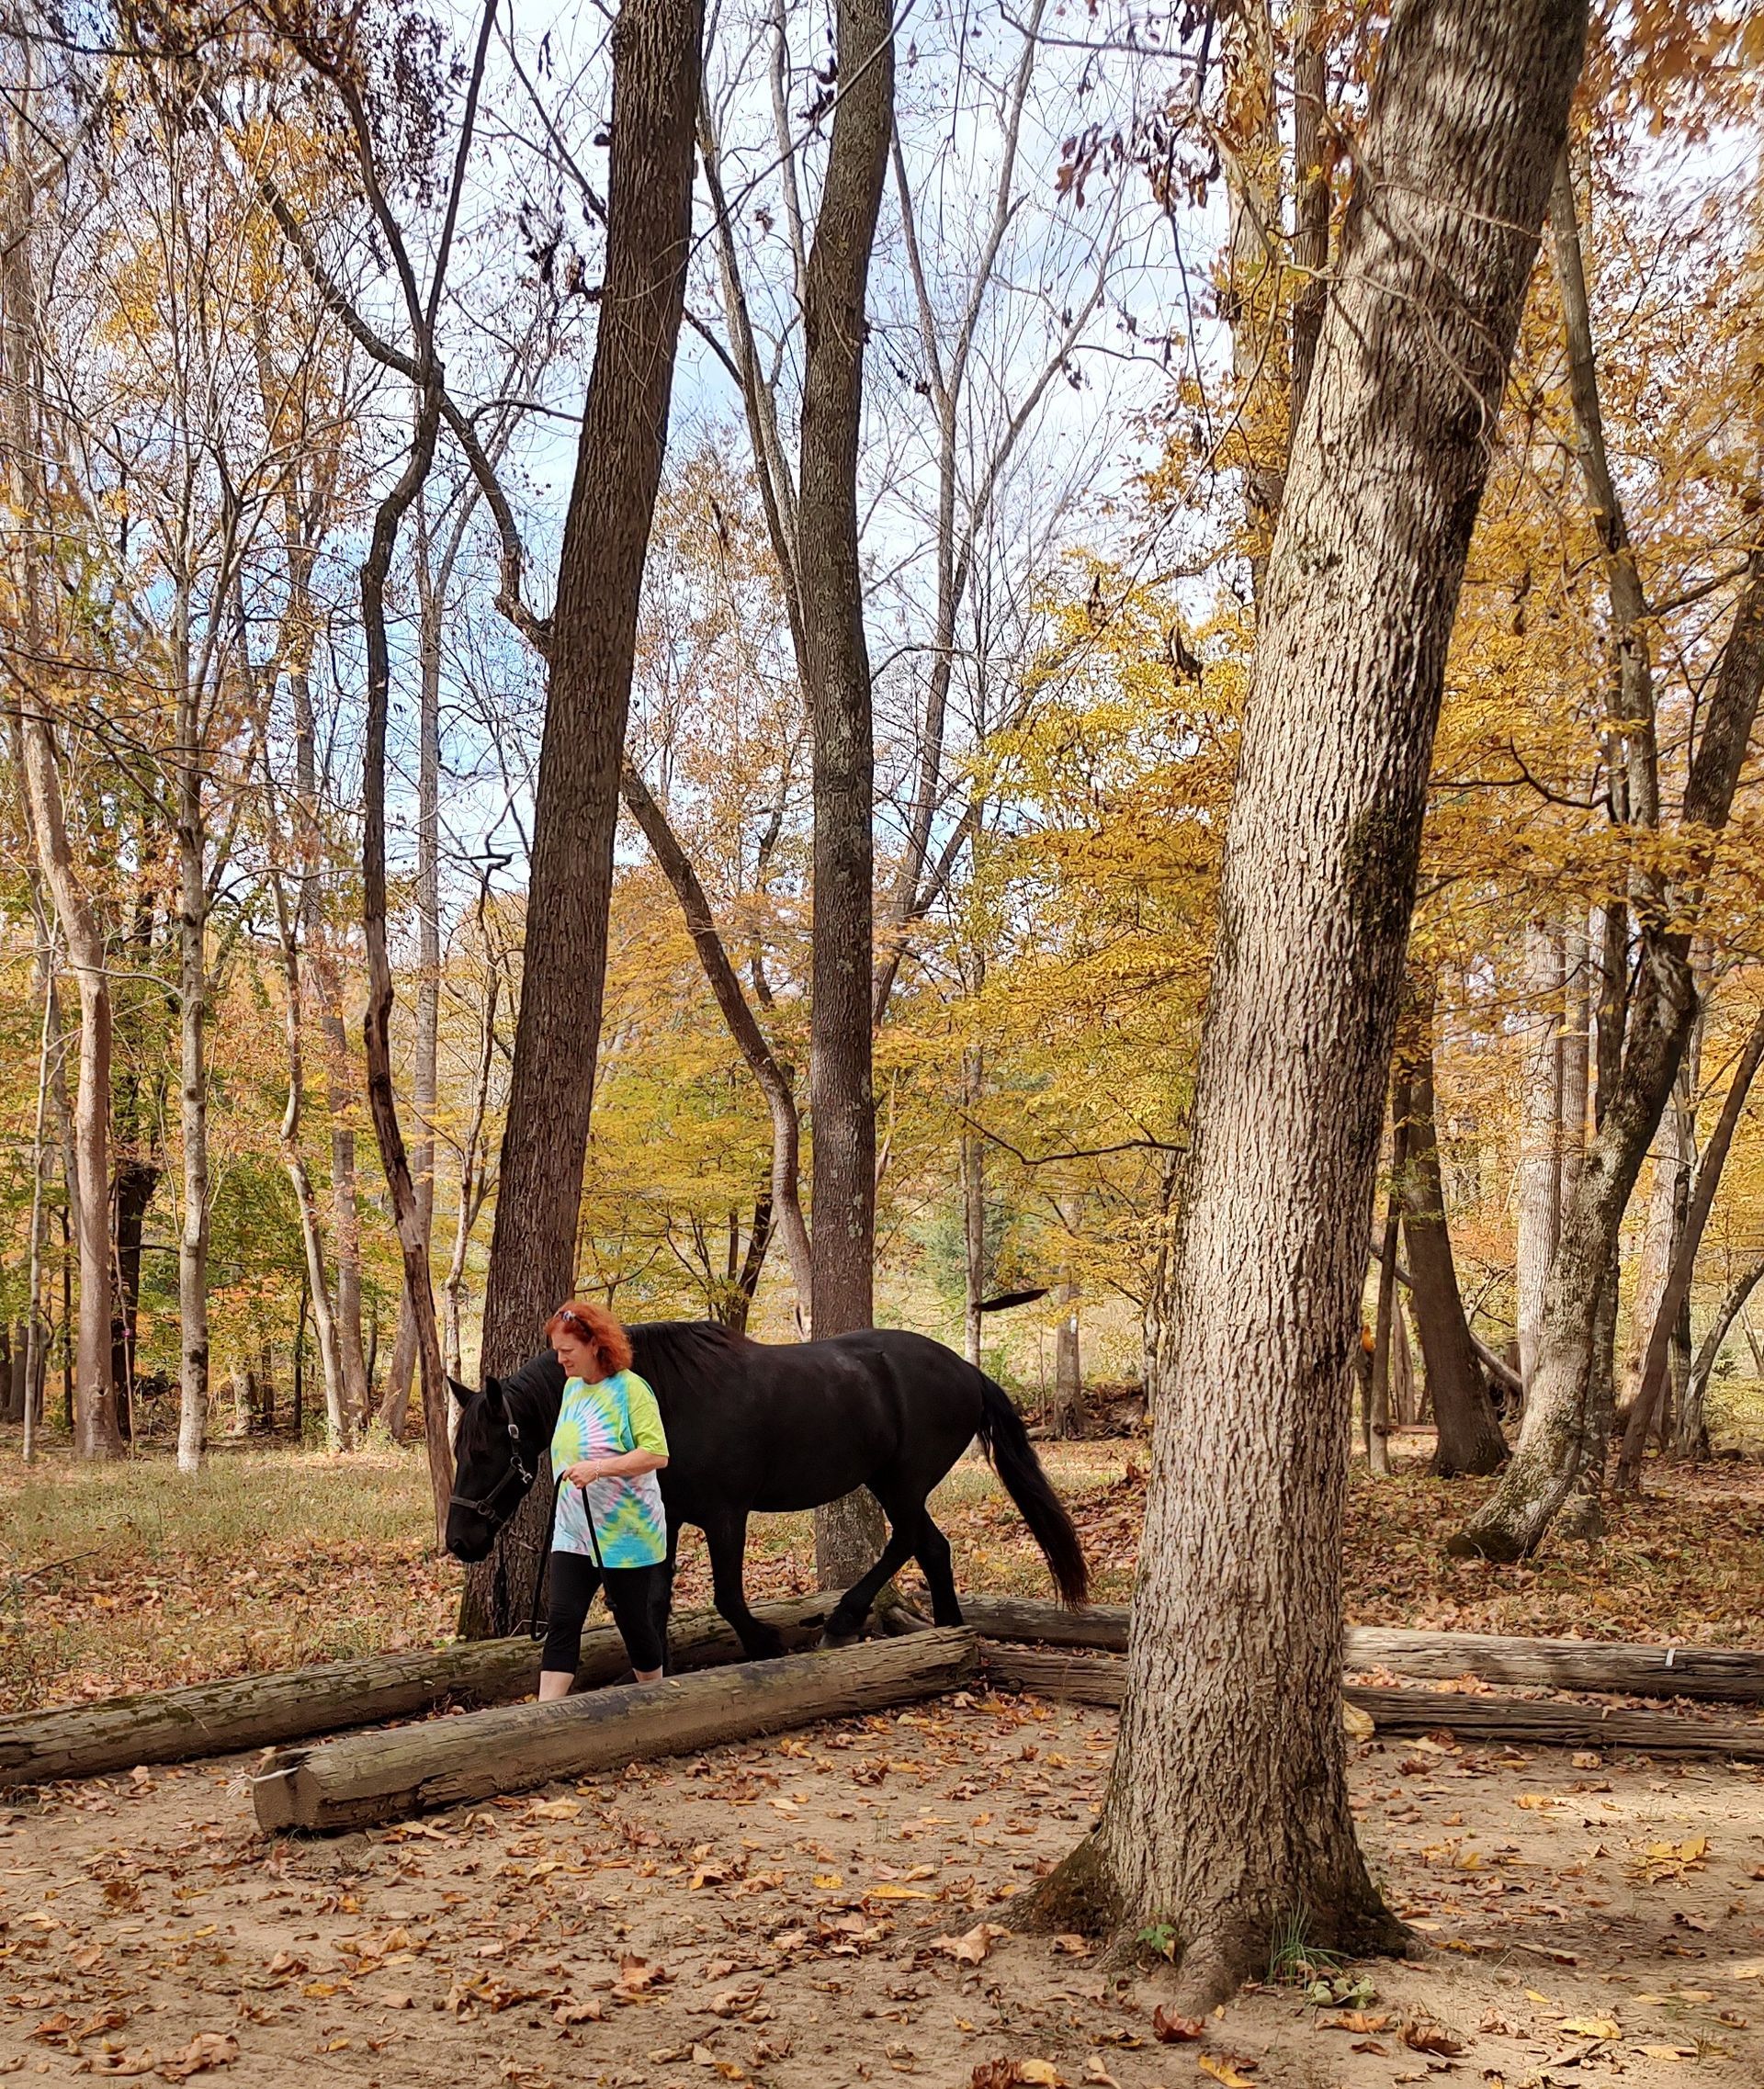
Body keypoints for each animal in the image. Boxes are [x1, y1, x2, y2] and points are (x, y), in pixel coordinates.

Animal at [445, 1319, 1089, 1659]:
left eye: (482, 1453)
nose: (459, 1541)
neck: (668, 1399)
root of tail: (968, 1371)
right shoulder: (670, 1516)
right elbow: (654, 1606)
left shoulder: (727, 1516)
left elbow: (729, 1599)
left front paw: (768, 1642)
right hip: (888, 1481)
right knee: (929, 1547)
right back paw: (944, 1626)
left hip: (902, 1482)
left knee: (913, 1541)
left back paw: (845, 1619)